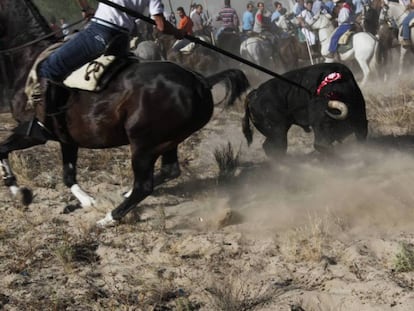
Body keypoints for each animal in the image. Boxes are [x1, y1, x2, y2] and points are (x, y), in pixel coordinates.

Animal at [0, 1, 249, 228]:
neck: (29, 58)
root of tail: (201, 81)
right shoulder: (66, 138)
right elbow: (68, 174)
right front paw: (86, 200)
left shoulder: (34, 132)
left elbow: (2, 149)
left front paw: (19, 191)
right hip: (168, 140)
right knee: (169, 171)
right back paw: (124, 195)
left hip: (144, 143)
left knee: (144, 185)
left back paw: (109, 218)